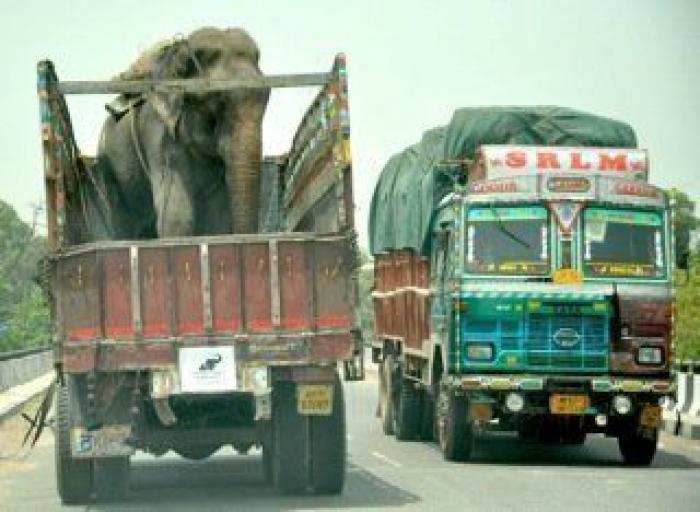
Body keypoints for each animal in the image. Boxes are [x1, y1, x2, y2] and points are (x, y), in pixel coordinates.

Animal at [93, 27, 269, 239]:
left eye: (268, 97)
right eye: (218, 101)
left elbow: (217, 218)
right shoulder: (158, 133)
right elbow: (177, 217)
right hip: (108, 163)